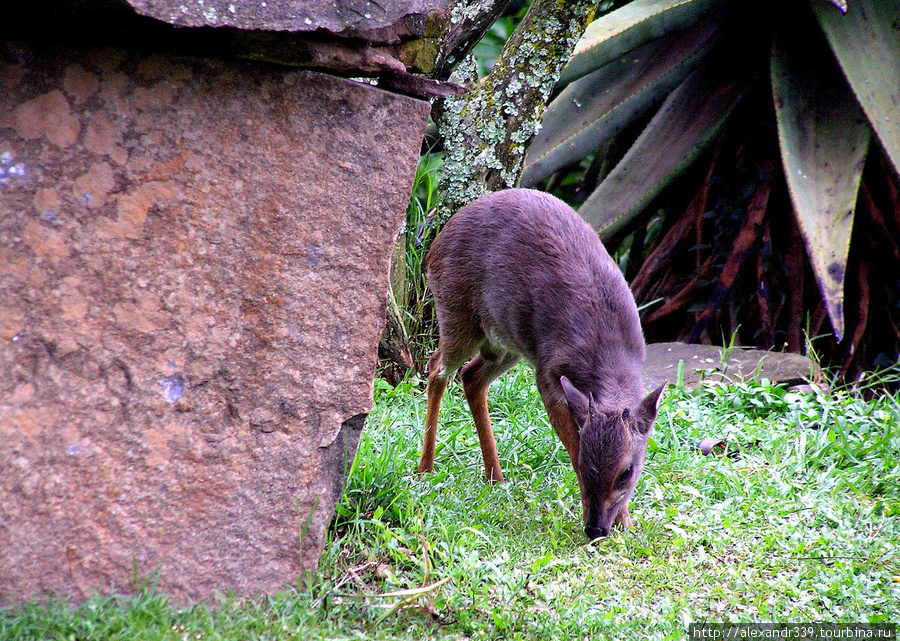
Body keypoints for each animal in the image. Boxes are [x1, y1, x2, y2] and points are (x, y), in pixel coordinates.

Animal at [418, 188, 664, 536]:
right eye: (584, 466)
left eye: (626, 473)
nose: (595, 529)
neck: (609, 348)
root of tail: (433, 247)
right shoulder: (548, 374)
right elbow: (570, 442)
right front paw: (620, 521)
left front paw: (624, 522)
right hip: (458, 316)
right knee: (436, 367)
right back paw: (425, 469)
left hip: (508, 341)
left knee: (471, 376)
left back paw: (495, 477)